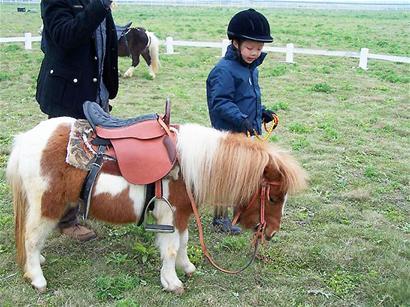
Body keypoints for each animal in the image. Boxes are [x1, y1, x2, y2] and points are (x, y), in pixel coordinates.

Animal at [6, 118, 308, 294]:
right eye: (273, 197)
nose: (271, 233)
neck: (190, 164)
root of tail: (25, 140)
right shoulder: (169, 216)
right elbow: (171, 248)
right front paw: (172, 282)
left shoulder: (184, 214)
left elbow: (184, 242)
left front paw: (187, 268)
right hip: (46, 206)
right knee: (31, 238)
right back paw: (37, 278)